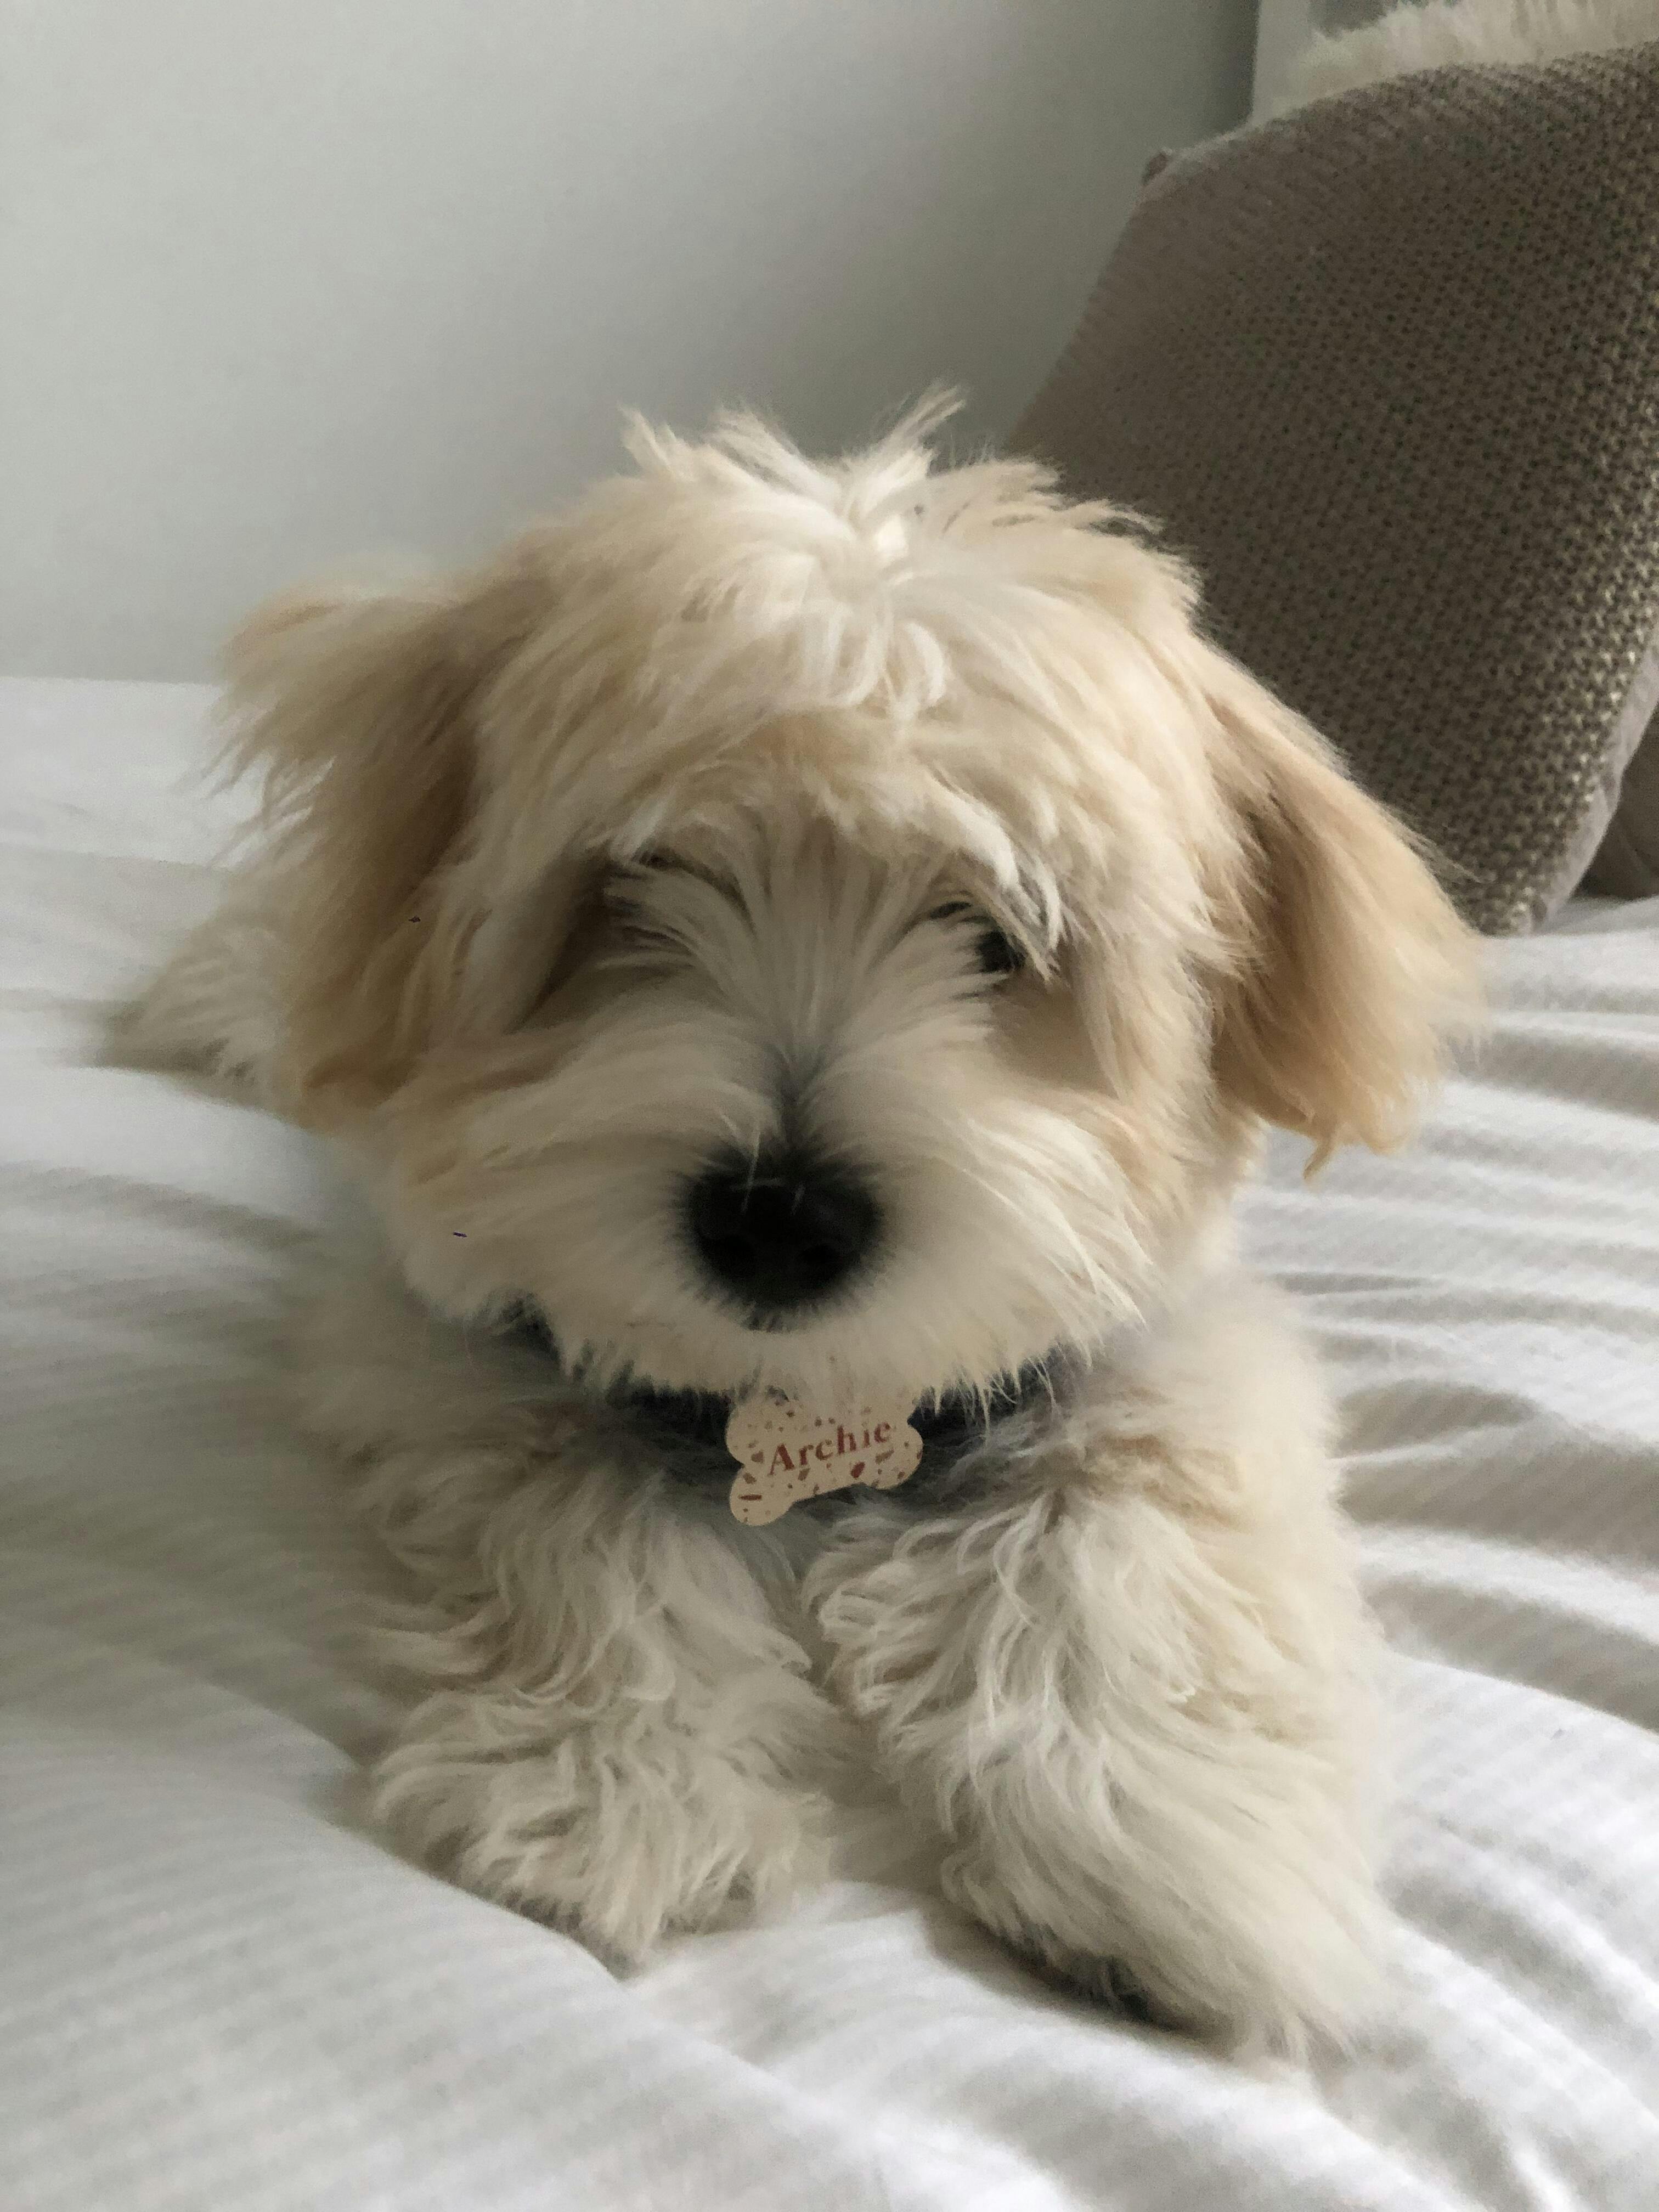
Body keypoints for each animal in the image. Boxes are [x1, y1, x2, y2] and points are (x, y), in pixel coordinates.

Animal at [134, 399, 1475, 2057]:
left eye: (998, 936)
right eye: (638, 883)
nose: (778, 1221)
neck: (804, 1402)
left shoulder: (1167, 1356)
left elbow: (1115, 1541)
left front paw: (1164, 1837)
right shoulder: (462, 1359)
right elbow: (593, 1535)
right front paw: (624, 1790)